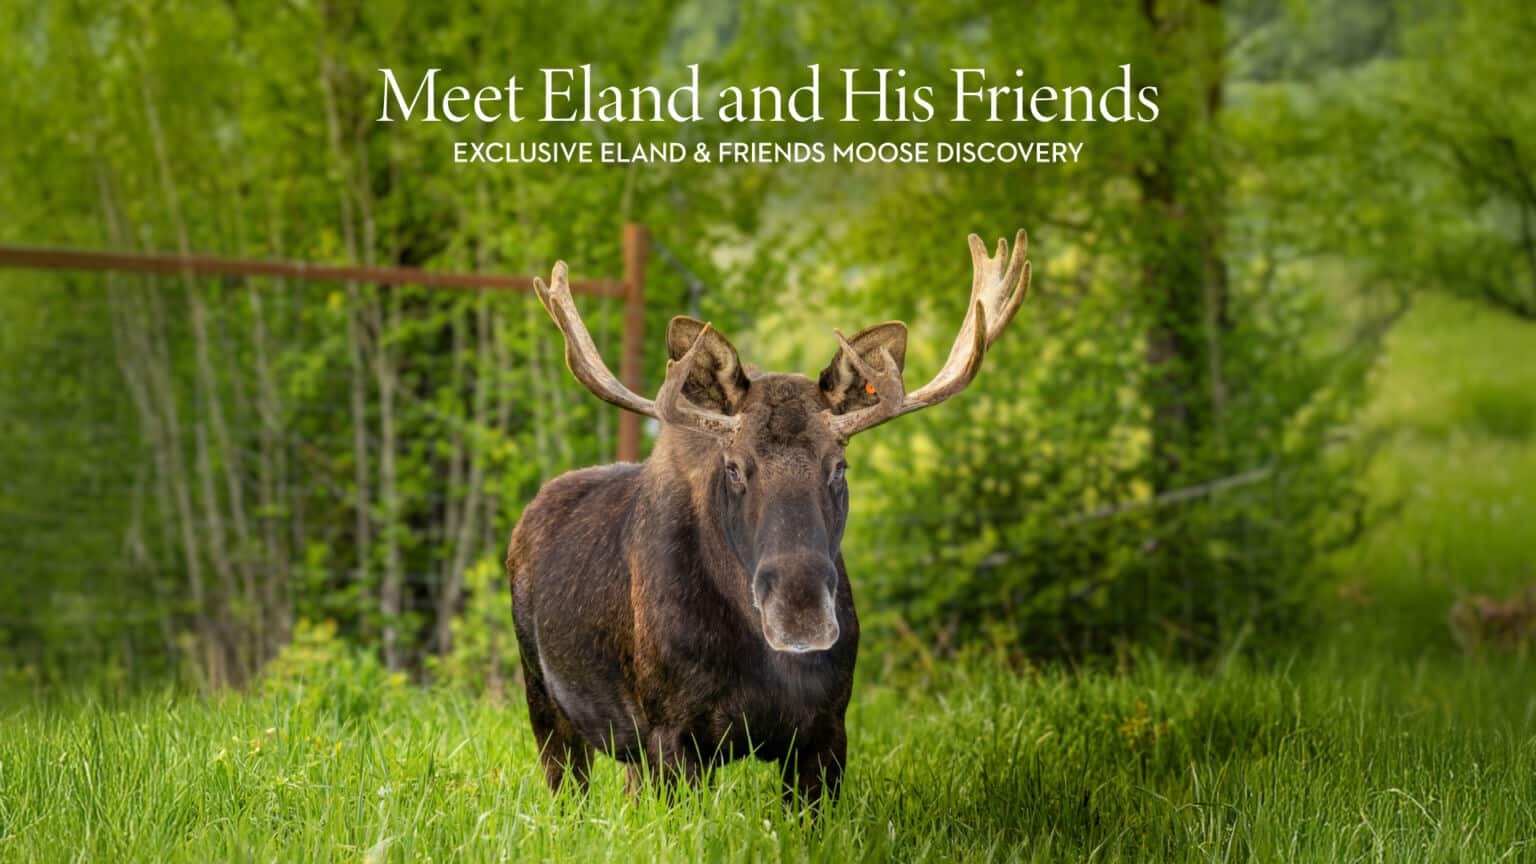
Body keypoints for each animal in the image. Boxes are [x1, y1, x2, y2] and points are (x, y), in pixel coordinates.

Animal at [507, 230, 1031, 807]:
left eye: (839, 464)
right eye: (734, 466)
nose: (799, 612)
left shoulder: (827, 731)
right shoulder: (671, 731)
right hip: (546, 706)